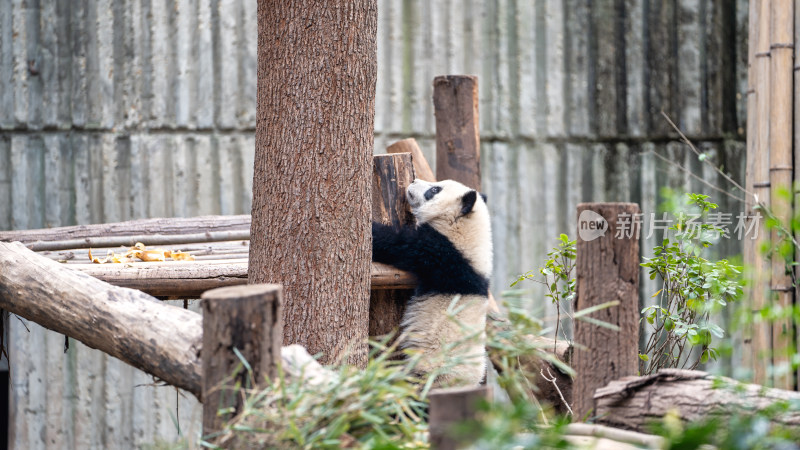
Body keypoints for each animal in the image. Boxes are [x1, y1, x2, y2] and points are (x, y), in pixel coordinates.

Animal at [372, 179, 490, 386]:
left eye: (435, 190)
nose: (413, 181)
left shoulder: (444, 254)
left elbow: (399, 244)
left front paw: (372, 230)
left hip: (435, 370)